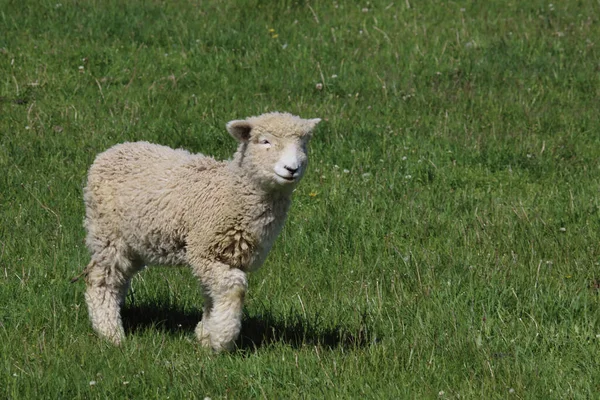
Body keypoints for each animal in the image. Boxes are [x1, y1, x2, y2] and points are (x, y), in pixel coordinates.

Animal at [83, 111, 324, 350]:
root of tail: (113, 150)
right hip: (108, 232)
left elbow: (213, 295)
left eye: (303, 145)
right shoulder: (202, 251)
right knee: (101, 279)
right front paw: (221, 339)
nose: (292, 169)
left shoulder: (230, 257)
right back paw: (110, 333)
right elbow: (234, 289)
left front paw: (206, 335)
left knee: (120, 279)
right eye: (265, 141)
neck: (232, 192)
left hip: (136, 242)